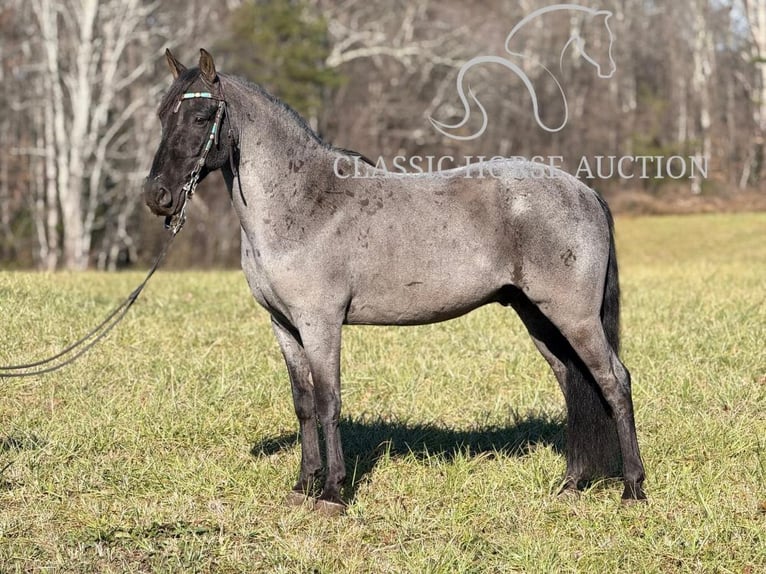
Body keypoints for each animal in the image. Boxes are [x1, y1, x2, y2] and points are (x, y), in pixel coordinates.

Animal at [144, 50, 648, 516]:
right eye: (163, 115)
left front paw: (332, 494)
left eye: (201, 116)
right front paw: (303, 487)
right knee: (572, 382)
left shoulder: (320, 323)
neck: (302, 201)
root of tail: (584, 191)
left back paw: (632, 490)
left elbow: (328, 402)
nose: (157, 196)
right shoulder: (283, 326)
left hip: (574, 317)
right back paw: (571, 485)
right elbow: (304, 403)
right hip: (538, 316)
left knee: (614, 381)